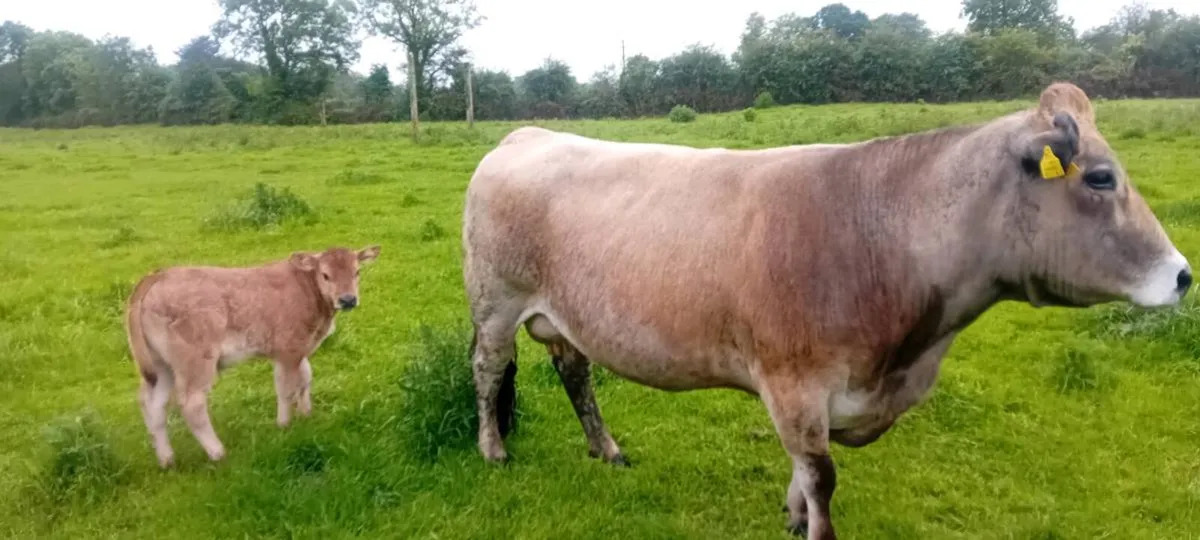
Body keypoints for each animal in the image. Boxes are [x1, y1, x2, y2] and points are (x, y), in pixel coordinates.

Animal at [124, 245, 381, 468]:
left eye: (357, 272)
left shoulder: (300, 348)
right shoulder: (288, 349)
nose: (348, 299)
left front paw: (306, 414)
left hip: (161, 365)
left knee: (152, 403)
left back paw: (166, 459)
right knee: (191, 405)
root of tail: (159, 275)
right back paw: (218, 453)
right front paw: (284, 424)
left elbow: (306, 377)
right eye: (326, 275)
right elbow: (286, 388)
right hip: (195, 360)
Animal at [459, 82, 1192, 538]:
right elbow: (821, 475)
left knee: (575, 371)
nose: (1183, 276)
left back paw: (605, 448)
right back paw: (492, 450)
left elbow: (804, 472)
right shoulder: (793, 381)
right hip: (494, 303)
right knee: (488, 371)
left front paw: (791, 516)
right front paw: (812, 523)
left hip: (565, 317)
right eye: (1100, 177)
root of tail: (523, 136)